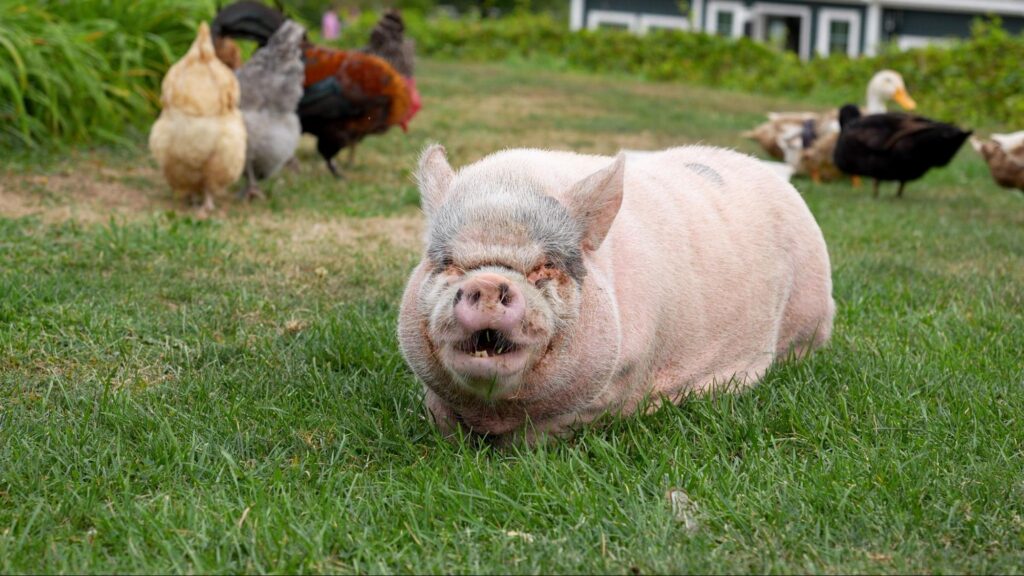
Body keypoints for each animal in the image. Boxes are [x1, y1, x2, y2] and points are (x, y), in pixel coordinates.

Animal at [398, 144, 834, 443]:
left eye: (546, 266)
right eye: (448, 263)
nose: (487, 283)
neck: (493, 415)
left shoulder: (617, 378)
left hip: (809, 315)